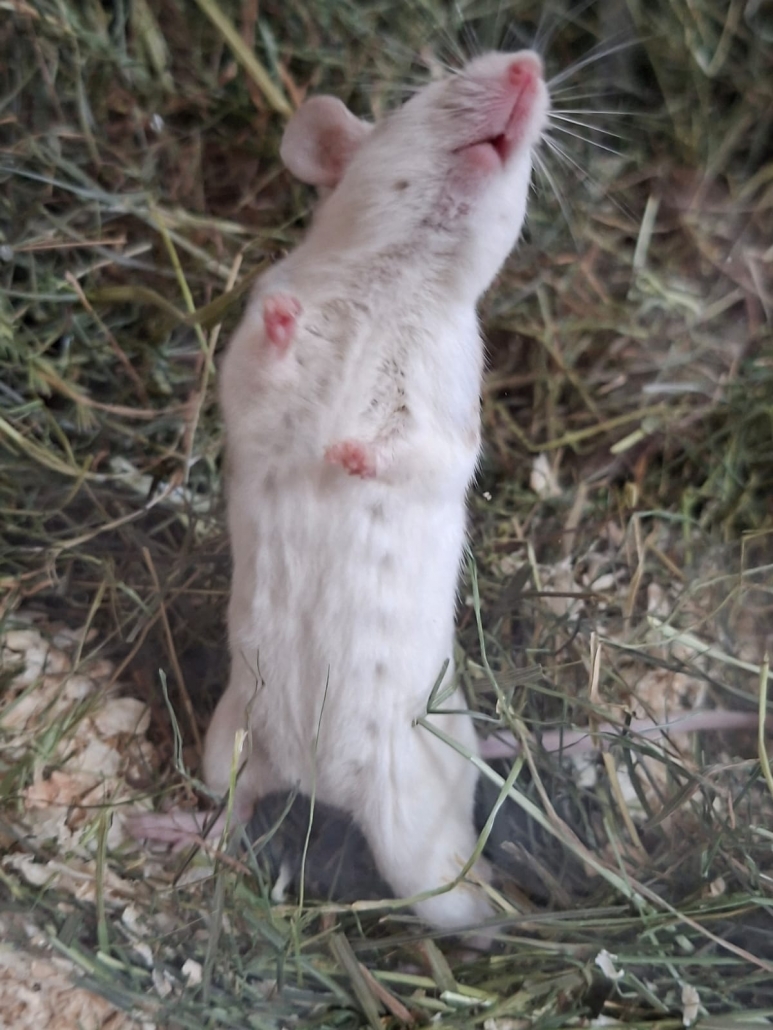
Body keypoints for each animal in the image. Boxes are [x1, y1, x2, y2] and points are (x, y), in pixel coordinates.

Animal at [131, 50, 550, 934]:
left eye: (531, 164)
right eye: (427, 92)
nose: (528, 66)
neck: (397, 279)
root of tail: (325, 786)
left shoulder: (455, 391)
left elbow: (432, 456)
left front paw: (356, 453)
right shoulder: (254, 340)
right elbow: (254, 375)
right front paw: (289, 335)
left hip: (420, 836)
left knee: (456, 905)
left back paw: (506, 911)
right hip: (230, 741)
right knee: (232, 810)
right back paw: (180, 829)